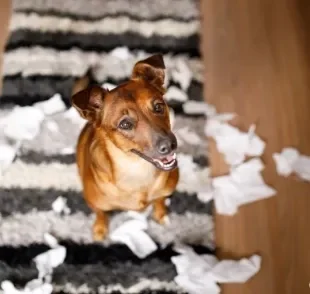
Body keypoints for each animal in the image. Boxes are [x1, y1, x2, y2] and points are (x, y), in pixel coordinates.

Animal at [71, 54, 179, 240]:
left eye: (158, 106)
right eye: (125, 124)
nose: (169, 145)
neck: (136, 169)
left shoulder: (165, 192)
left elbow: (160, 201)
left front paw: (161, 215)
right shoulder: (96, 204)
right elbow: (100, 213)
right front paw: (100, 229)